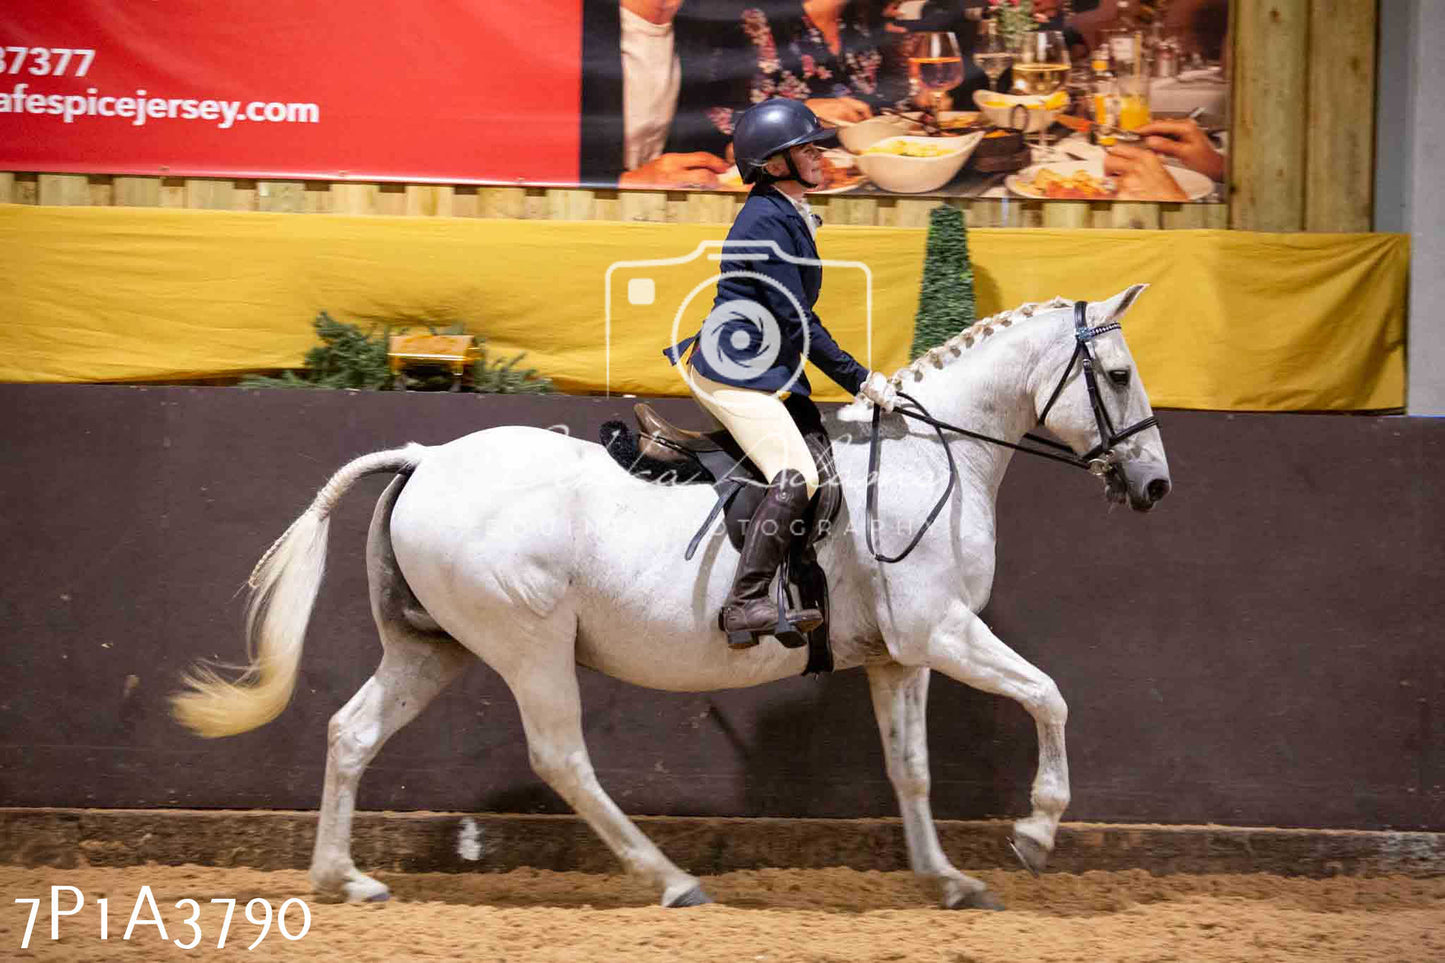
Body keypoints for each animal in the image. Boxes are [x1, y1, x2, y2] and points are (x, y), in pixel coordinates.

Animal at [169, 283, 1167, 908]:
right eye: (1118, 376)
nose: (1154, 485)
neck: (933, 457)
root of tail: (425, 458)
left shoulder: (902, 651)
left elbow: (911, 769)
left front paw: (948, 878)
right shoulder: (941, 630)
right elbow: (1049, 695)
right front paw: (1035, 831)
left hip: (431, 647)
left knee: (352, 732)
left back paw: (342, 879)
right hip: (529, 644)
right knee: (561, 757)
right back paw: (670, 878)